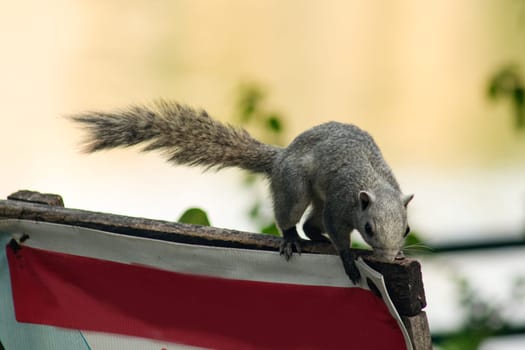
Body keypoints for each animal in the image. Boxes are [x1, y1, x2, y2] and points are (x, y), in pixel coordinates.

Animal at [70, 100, 414, 284]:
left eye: (407, 229)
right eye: (368, 228)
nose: (388, 256)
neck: (373, 181)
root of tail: (280, 158)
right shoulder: (340, 204)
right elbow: (338, 232)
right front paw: (348, 260)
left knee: (310, 224)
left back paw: (315, 237)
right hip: (295, 187)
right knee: (294, 218)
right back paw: (292, 239)